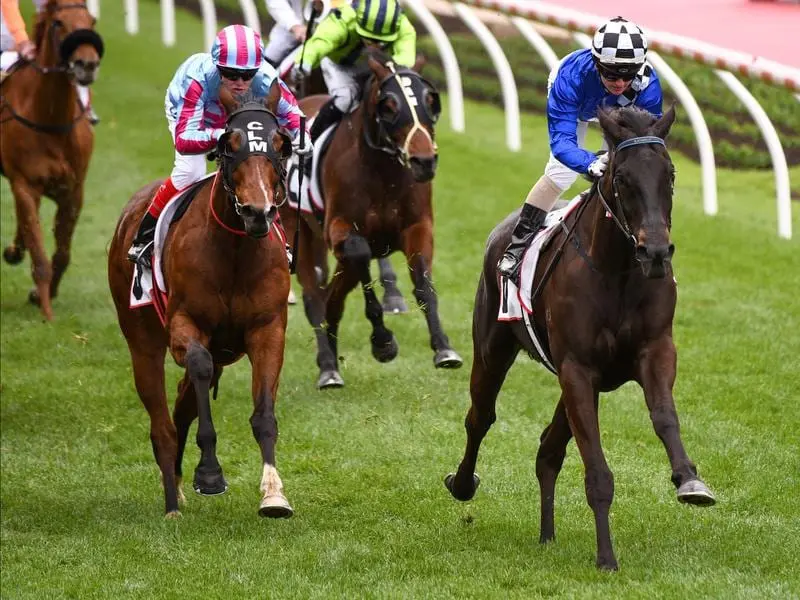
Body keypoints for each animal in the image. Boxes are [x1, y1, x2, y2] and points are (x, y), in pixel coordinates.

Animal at [0, 0, 103, 322]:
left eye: (91, 20)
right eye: (59, 22)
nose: (87, 64)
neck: (49, 118)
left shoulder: (73, 190)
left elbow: (63, 253)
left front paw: (42, 294)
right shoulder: (24, 184)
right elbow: (40, 255)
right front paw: (46, 310)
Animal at [106, 84, 294, 520]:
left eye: (281, 143)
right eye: (229, 145)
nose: (258, 212)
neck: (236, 251)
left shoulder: (268, 329)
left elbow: (264, 413)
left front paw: (273, 494)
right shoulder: (186, 324)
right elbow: (199, 366)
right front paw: (209, 473)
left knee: (182, 399)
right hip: (142, 341)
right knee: (162, 421)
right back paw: (172, 502)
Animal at [280, 51, 460, 390]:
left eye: (431, 101)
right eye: (388, 105)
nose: (424, 161)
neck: (383, 174)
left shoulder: (417, 228)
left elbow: (423, 283)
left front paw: (444, 348)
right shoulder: (340, 230)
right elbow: (360, 254)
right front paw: (383, 341)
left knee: (332, 295)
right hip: (299, 231)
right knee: (315, 297)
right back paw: (328, 366)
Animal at [446, 105, 716, 568]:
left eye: (670, 174)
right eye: (622, 178)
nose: (656, 252)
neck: (619, 271)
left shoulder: (654, 350)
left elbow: (664, 415)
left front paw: (689, 480)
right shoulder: (578, 368)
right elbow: (597, 470)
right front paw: (606, 556)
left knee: (548, 449)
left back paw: (547, 534)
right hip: (493, 348)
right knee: (480, 416)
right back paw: (463, 484)